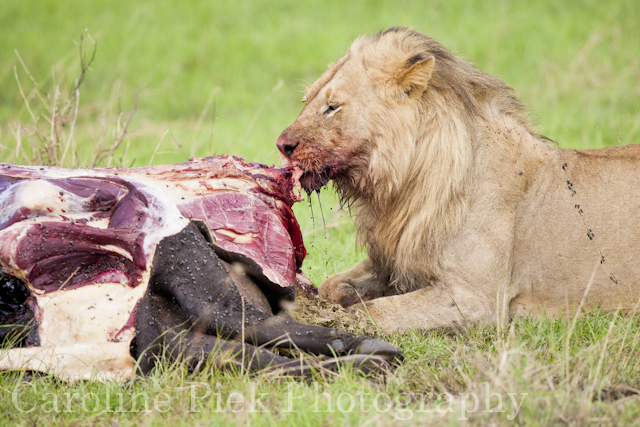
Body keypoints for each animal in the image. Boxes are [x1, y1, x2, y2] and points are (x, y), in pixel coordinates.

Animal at [276, 26, 640, 336]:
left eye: (332, 107)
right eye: (308, 100)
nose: (282, 145)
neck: (401, 190)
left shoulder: (476, 299)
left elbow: (372, 315)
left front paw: (344, 312)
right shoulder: (396, 261)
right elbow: (331, 283)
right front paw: (346, 295)